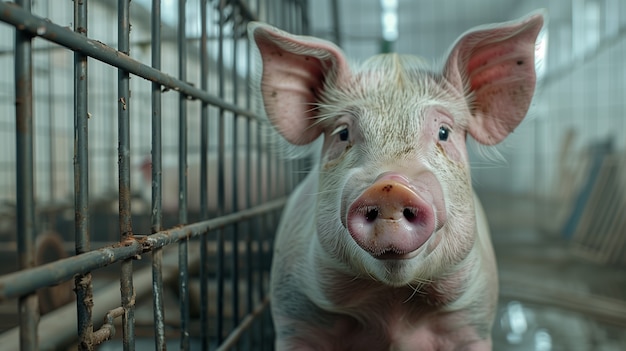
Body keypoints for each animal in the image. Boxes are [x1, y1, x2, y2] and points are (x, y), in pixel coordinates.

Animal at [247, 11, 540, 351]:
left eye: (444, 132)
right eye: (342, 133)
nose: (390, 186)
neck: (392, 303)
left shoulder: (474, 321)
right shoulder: (294, 315)